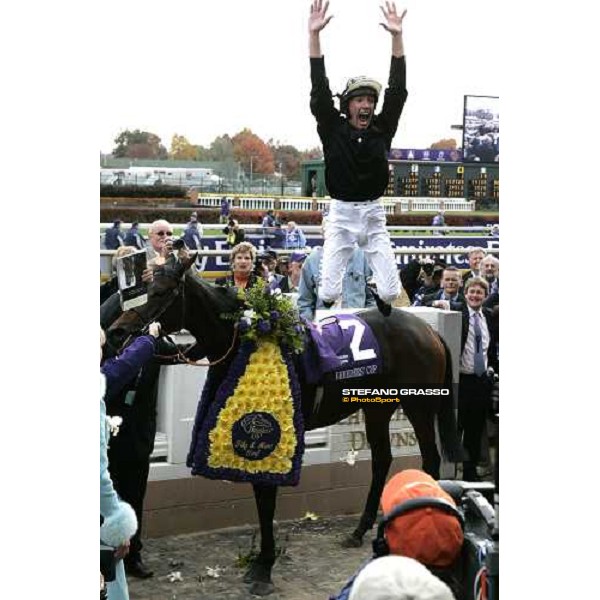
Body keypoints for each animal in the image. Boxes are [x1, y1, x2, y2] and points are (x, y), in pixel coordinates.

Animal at [109, 256, 464, 596]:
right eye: (141, 288)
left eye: (159, 292)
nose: (116, 331)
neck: (248, 337)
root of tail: (429, 331)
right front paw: (260, 562)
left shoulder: (273, 428)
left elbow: (266, 498)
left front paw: (263, 568)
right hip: (378, 408)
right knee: (381, 461)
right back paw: (359, 531)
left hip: (419, 407)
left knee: (430, 459)